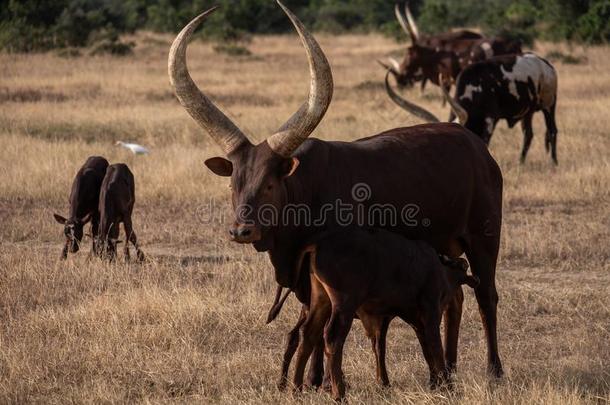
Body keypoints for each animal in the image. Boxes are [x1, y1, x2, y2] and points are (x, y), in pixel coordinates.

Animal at [288, 226, 476, 400]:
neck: (438, 268)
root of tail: (318, 244)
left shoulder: (415, 322)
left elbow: (427, 351)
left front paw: (436, 383)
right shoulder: (430, 314)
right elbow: (436, 349)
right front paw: (447, 386)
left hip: (321, 301)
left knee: (308, 334)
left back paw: (296, 389)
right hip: (344, 305)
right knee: (333, 338)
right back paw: (339, 393)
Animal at [384, 53, 556, 164]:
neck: (474, 87)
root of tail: (545, 63)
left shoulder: (489, 119)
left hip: (549, 104)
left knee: (552, 130)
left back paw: (553, 162)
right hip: (528, 111)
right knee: (528, 134)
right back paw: (521, 161)